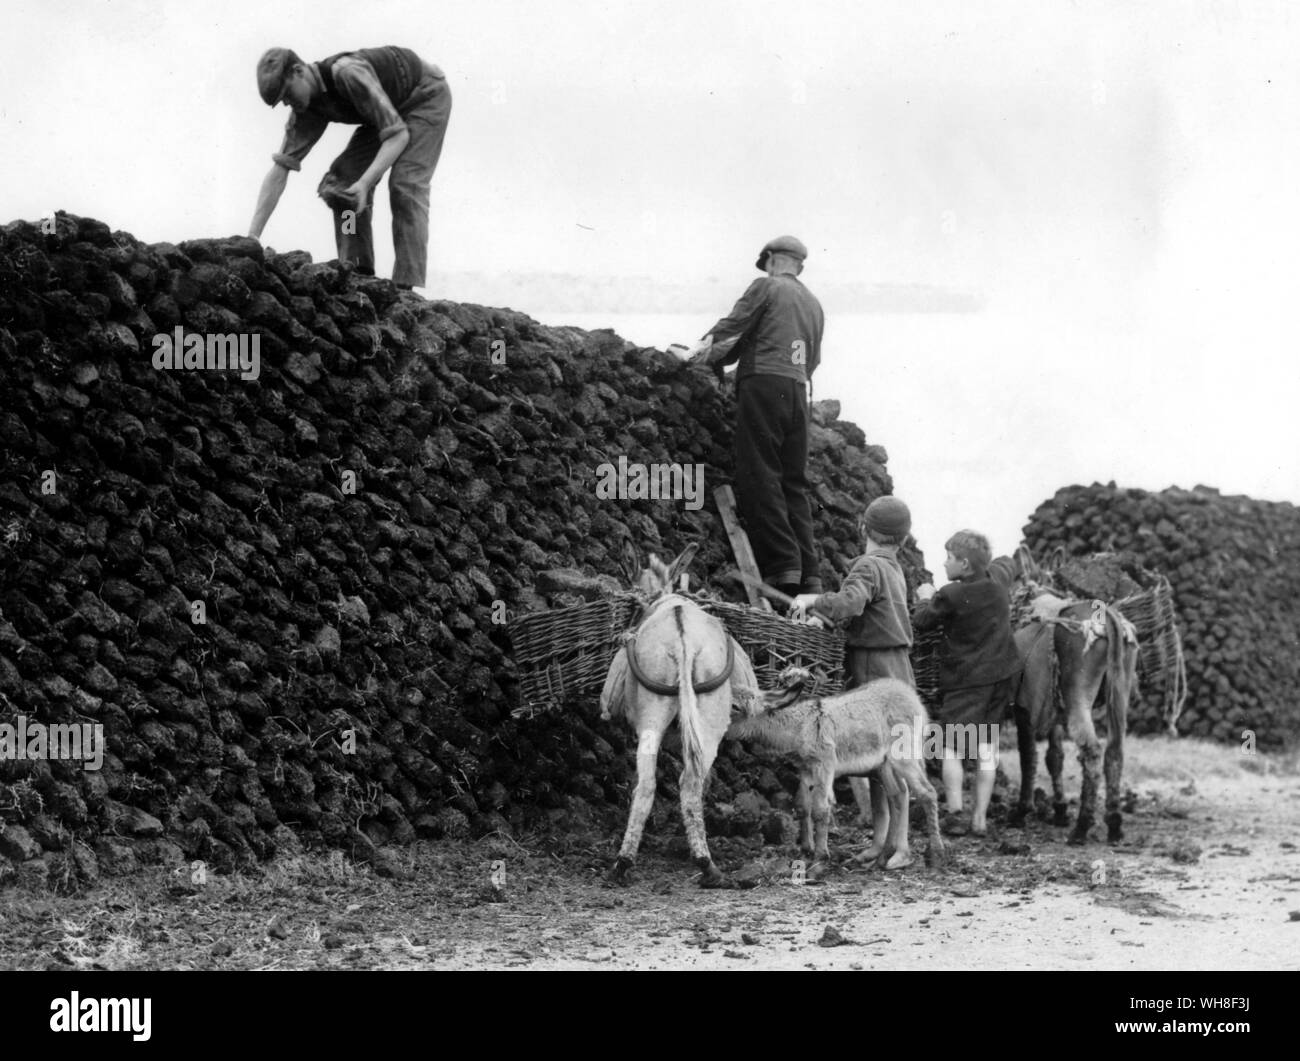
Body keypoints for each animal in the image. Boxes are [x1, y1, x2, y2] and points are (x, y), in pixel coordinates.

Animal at [598, 546, 759, 889]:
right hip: (707, 720)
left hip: (657, 714)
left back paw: (625, 862)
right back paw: (703, 864)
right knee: (688, 782)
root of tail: (681, 636)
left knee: (649, 783)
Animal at [722, 670, 946, 868]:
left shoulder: (824, 765)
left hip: (903, 756)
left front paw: (820, 858)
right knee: (898, 796)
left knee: (927, 792)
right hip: (883, 766)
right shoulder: (806, 770)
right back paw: (882, 859)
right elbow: (802, 805)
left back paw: (935, 855)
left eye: (734, 706)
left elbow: (821, 809)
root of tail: (912, 695)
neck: (800, 727)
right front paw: (807, 848)